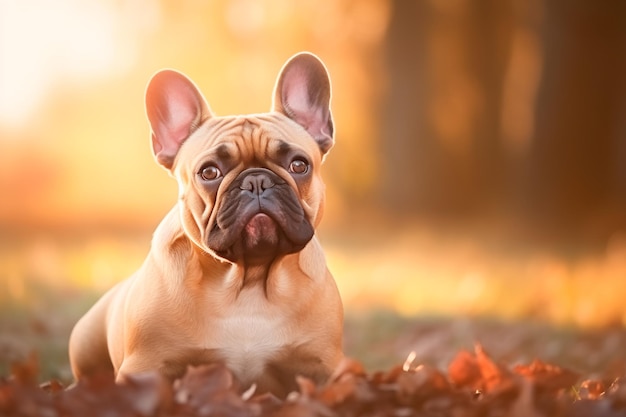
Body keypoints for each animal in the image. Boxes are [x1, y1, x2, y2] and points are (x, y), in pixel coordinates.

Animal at [70, 52, 344, 396]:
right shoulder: (146, 365)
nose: (256, 181)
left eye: (299, 165)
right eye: (209, 172)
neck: (248, 280)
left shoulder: (324, 365)